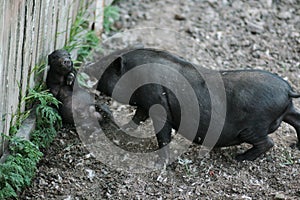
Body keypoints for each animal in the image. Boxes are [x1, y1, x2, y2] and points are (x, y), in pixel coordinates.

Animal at [89, 47, 300, 162]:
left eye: (104, 67)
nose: (87, 66)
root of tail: (287, 90)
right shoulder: (145, 103)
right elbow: (138, 117)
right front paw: (123, 128)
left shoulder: (157, 104)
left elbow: (162, 134)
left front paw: (160, 162)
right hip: (287, 111)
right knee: (296, 121)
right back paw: (294, 146)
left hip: (253, 128)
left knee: (268, 142)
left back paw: (239, 158)